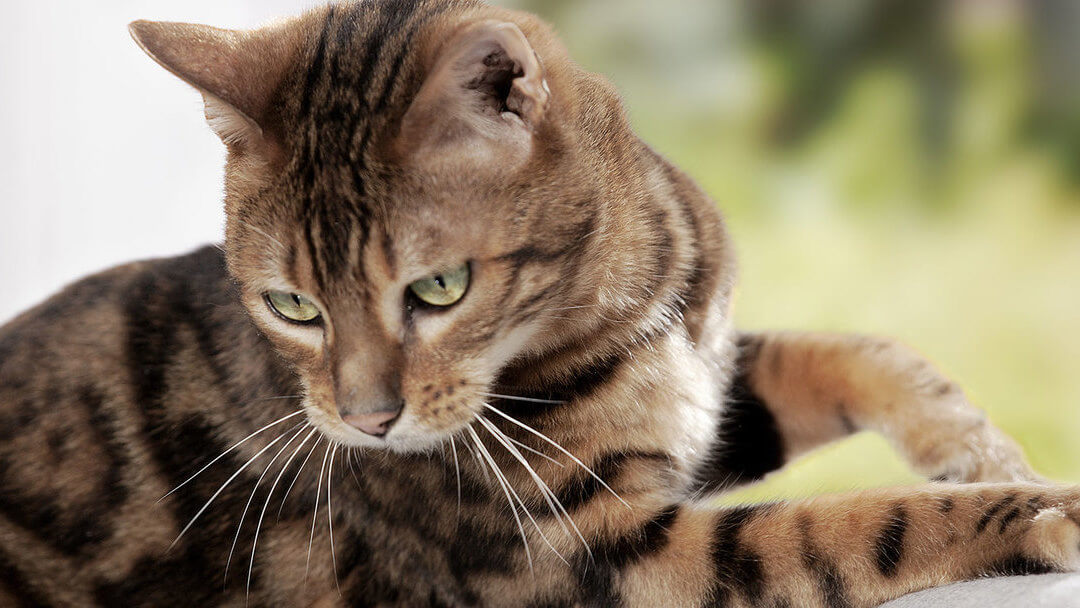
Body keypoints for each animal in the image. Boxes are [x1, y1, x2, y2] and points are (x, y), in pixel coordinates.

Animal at [0, 1, 1075, 608]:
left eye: (437, 287)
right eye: (292, 304)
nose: (367, 423)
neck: (627, 309)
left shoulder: (710, 388)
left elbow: (861, 351)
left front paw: (980, 449)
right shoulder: (600, 555)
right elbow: (855, 528)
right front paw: (1039, 509)